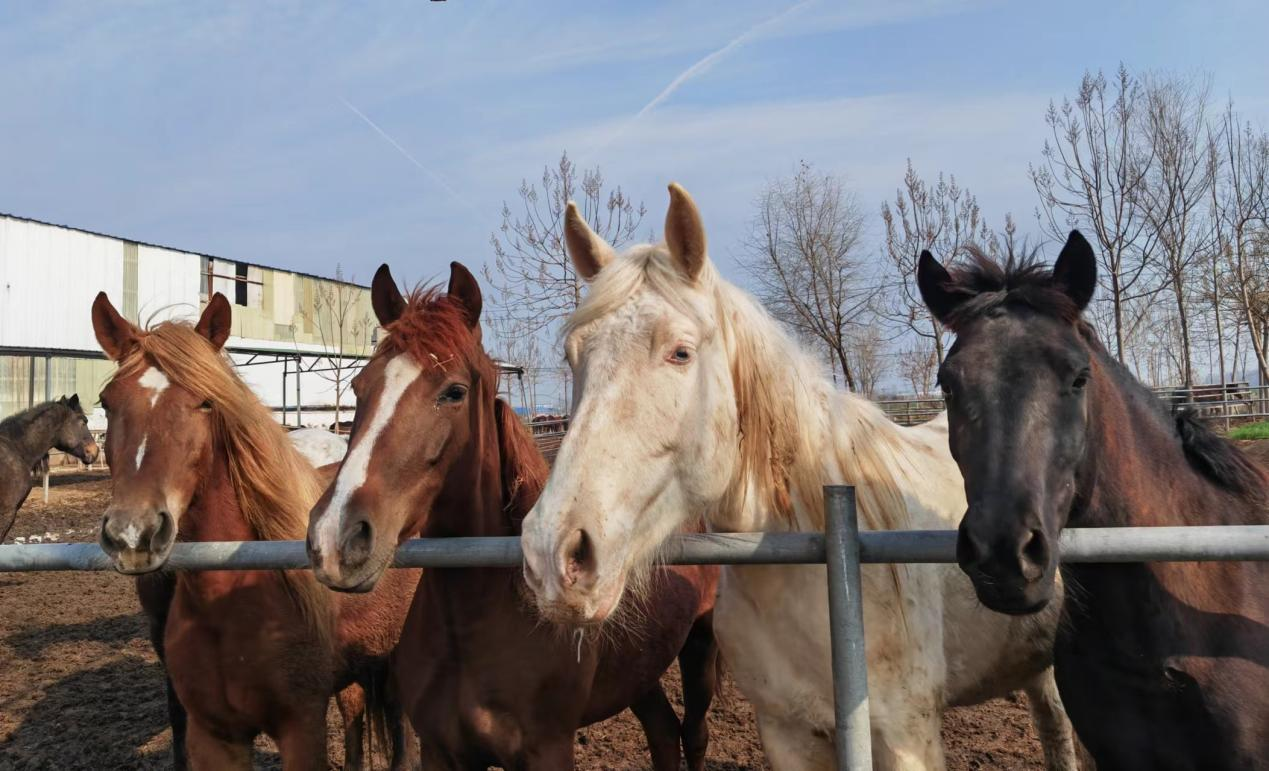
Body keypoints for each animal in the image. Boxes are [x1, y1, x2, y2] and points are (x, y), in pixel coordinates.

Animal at [305, 261, 722, 770]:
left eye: (455, 392)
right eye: (359, 386)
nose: (337, 538)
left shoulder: (548, 751)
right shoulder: (441, 751)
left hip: (700, 646)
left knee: (694, 735)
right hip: (639, 672)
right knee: (663, 732)